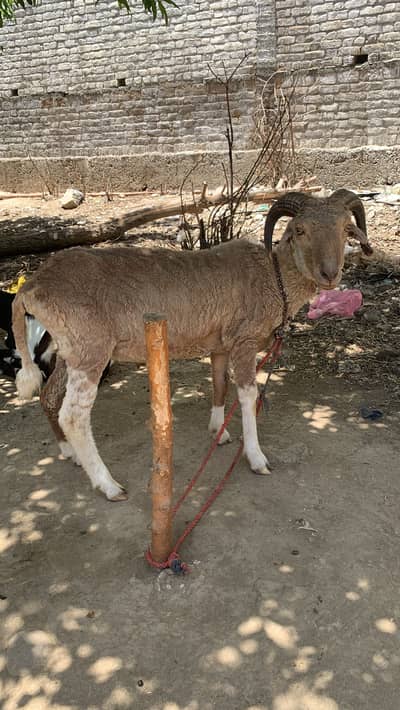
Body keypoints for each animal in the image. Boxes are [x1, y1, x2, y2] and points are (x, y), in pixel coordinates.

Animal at [12, 189, 372, 501]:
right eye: (300, 230)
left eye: (346, 229)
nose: (329, 274)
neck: (274, 278)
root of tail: (32, 286)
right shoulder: (244, 340)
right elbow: (247, 395)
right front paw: (256, 457)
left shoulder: (221, 344)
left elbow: (219, 384)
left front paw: (218, 432)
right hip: (91, 349)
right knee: (73, 416)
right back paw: (108, 485)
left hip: (68, 350)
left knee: (49, 396)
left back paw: (70, 453)